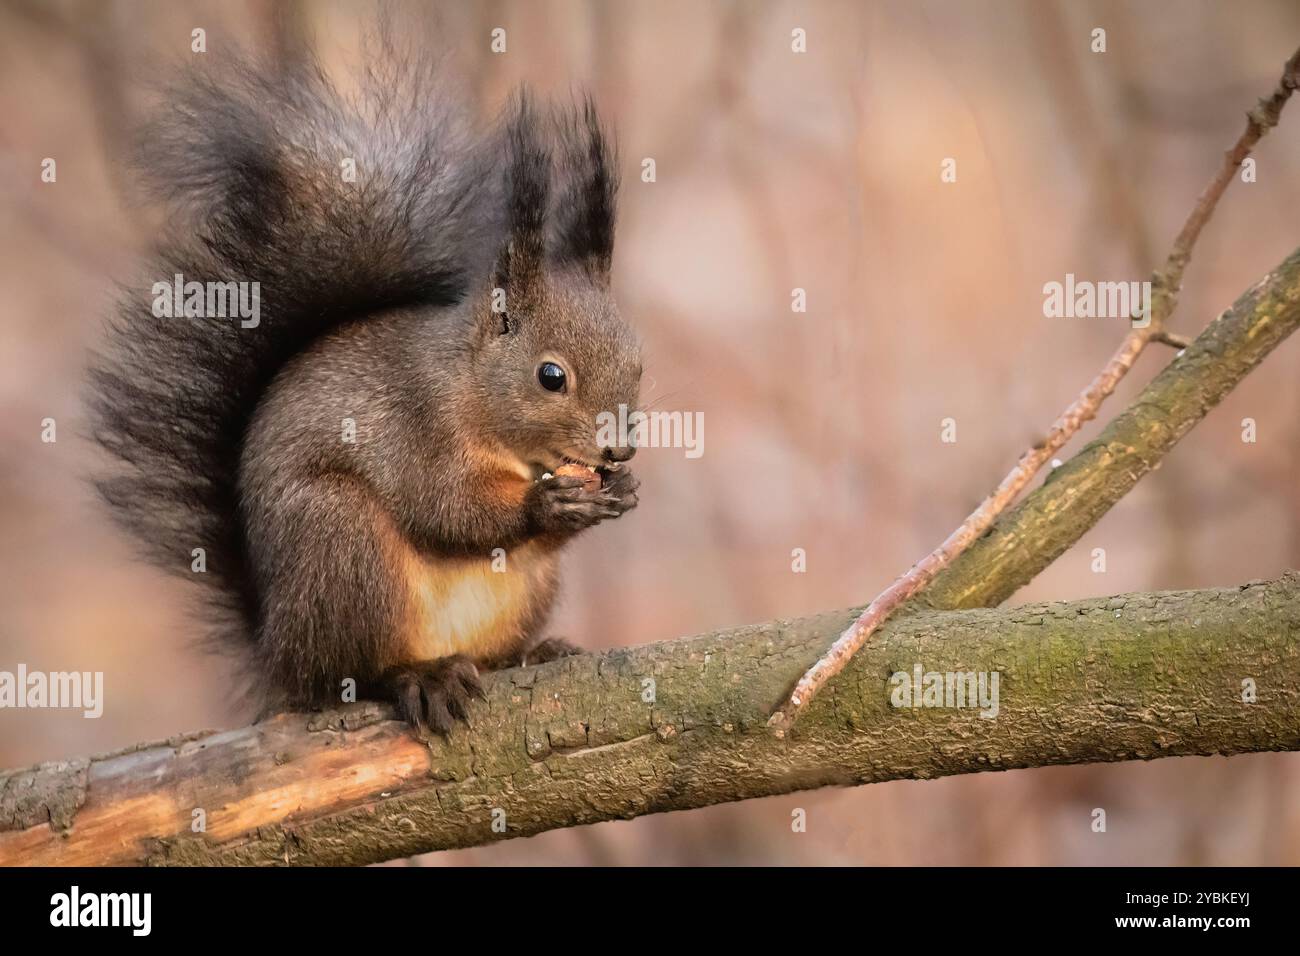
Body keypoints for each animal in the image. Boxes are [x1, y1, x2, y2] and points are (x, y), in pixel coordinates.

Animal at [83, 42, 642, 733]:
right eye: (551, 376)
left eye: (639, 362)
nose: (620, 450)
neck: (469, 386)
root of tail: (280, 655)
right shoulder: (416, 425)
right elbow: (443, 507)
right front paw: (546, 505)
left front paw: (621, 491)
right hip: (342, 544)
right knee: (352, 674)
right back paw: (419, 676)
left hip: (525, 589)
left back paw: (531, 653)